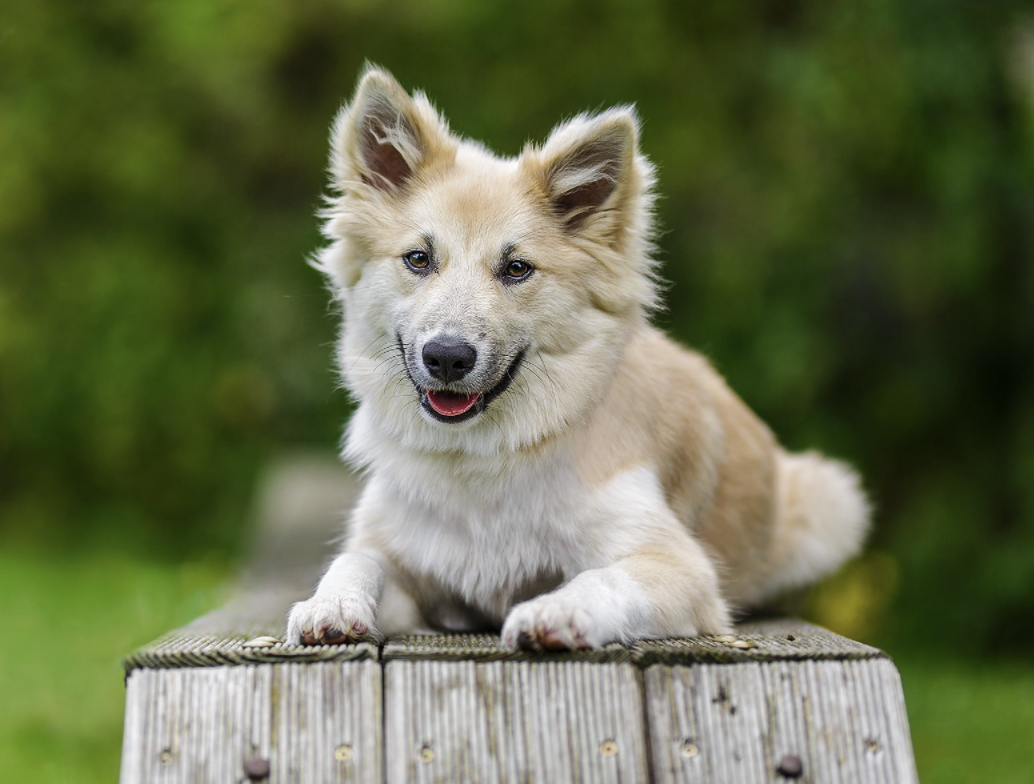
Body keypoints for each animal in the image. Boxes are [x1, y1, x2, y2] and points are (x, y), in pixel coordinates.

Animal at [285, 65, 872, 649]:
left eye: (517, 269)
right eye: (418, 259)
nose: (447, 358)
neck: (481, 455)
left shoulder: (678, 566)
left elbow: (601, 579)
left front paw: (555, 613)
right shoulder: (404, 565)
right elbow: (356, 560)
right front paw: (329, 605)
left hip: (832, 501)